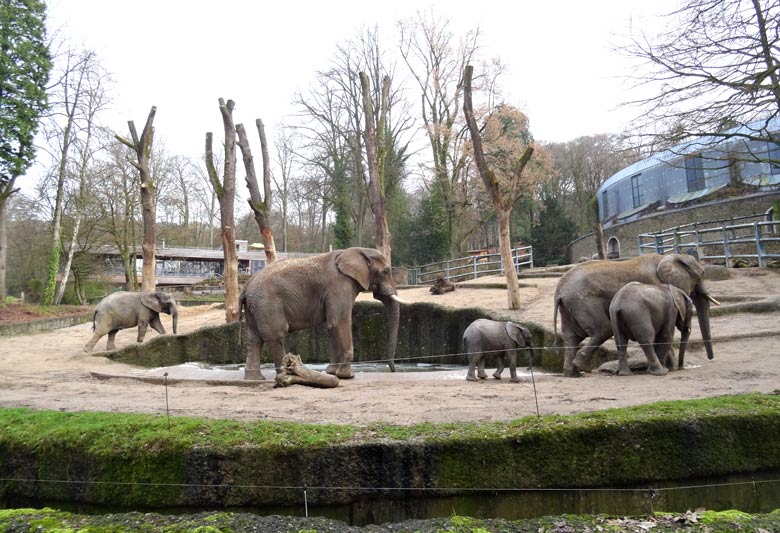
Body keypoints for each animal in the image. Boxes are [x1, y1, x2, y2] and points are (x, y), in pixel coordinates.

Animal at [241, 247, 406, 380]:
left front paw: (332, 372)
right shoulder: (339, 286)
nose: (393, 371)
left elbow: (332, 326)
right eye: (386, 271)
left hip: (255, 308)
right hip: (268, 305)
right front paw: (347, 376)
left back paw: (254, 379)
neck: (356, 250)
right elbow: (339, 322)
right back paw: (283, 375)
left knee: (253, 339)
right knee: (276, 335)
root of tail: (247, 285)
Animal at [556, 252, 720, 374]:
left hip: (569, 306)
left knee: (571, 337)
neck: (668, 257)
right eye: (701, 275)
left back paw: (572, 373)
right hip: (584, 302)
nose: (711, 358)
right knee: (603, 330)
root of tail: (559, 290)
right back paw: (582, 367)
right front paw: (670, 369)